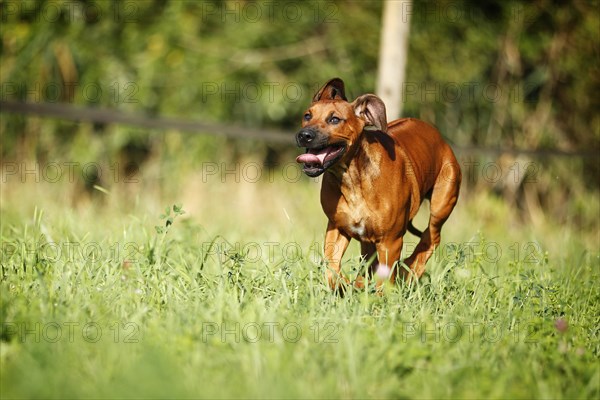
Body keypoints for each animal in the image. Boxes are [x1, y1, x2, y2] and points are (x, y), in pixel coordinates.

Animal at [298, 79, 462, 290]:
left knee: (431, 237)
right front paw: (344, 285)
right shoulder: (337, 227)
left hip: (442, 204)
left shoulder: (390, 241)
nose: (304, 135)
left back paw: (411, 269)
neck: (352, 177)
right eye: (307, 116)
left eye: (334, 120)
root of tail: (441, 139)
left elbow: (384, 279)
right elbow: (331, 266)